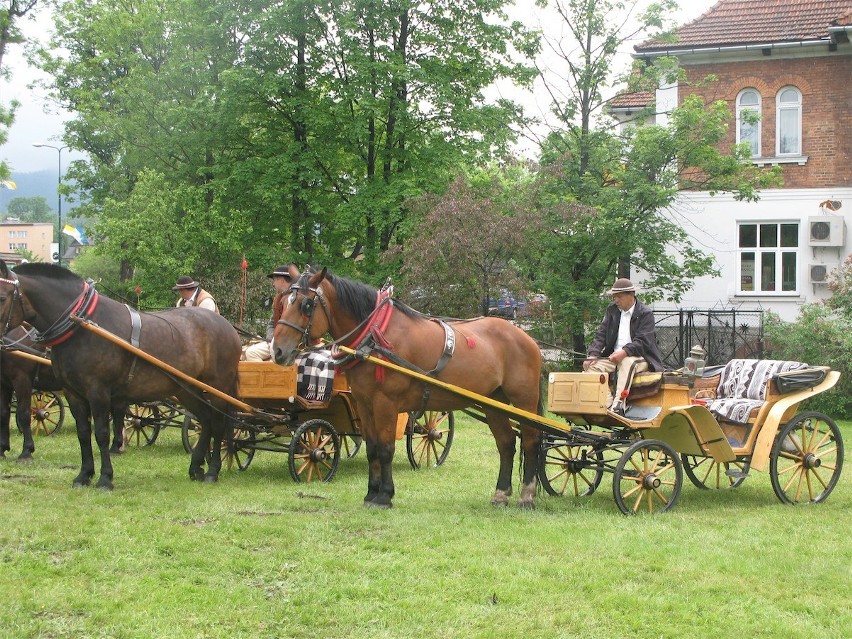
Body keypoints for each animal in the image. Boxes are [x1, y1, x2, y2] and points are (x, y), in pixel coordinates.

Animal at [0, 260, 240, 490]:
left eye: (2, 297)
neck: (81, 325)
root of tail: (227, 326)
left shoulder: (96, 391)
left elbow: (101, 433)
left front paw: (105, 478)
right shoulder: (72, 393)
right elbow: (83, 433)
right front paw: (84, 475)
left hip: (217, 387)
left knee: (218, 424)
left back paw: (212, 471)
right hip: (187, 389)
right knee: (206, 420)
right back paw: (196, 467)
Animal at [270, 268, 544, 508]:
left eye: (306, 305)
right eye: (284, 301)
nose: (278, 350)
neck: (375, 337)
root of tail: (526, 337)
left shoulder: (385, 404)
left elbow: (385, 448)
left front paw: (384, 496)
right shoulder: (364, 403)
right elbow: (372, 449)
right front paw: (371, 493)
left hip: (524, 399)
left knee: (530, 441)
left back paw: (527, 496)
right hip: (494, 402)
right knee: (506, 443)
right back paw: (501, 494)